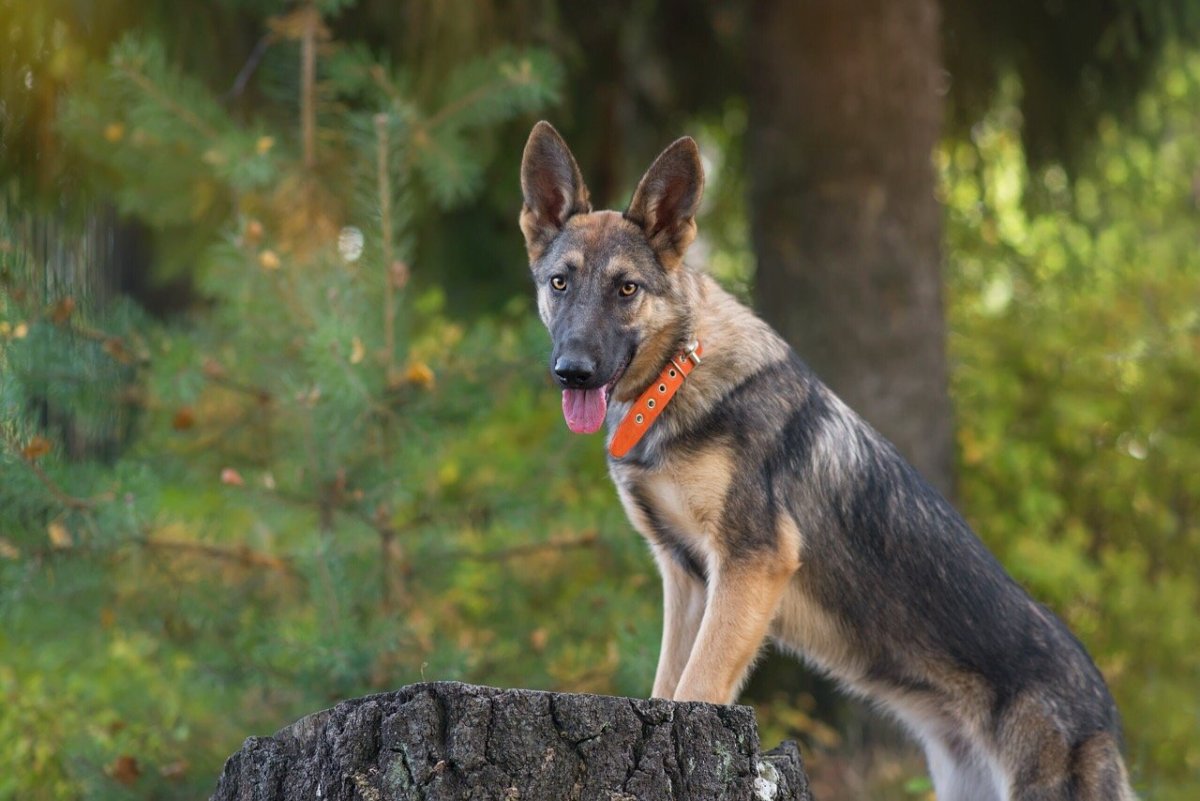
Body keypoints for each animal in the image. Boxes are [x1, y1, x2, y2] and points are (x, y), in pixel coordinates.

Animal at [516, 120, 1132, 801]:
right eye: (560, 283)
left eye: (626, 289)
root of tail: (1103, 709)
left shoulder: (751, 563)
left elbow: (696, 687)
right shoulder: (688, 579)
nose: (572, 371)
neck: (677, 378)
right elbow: (667, 690)